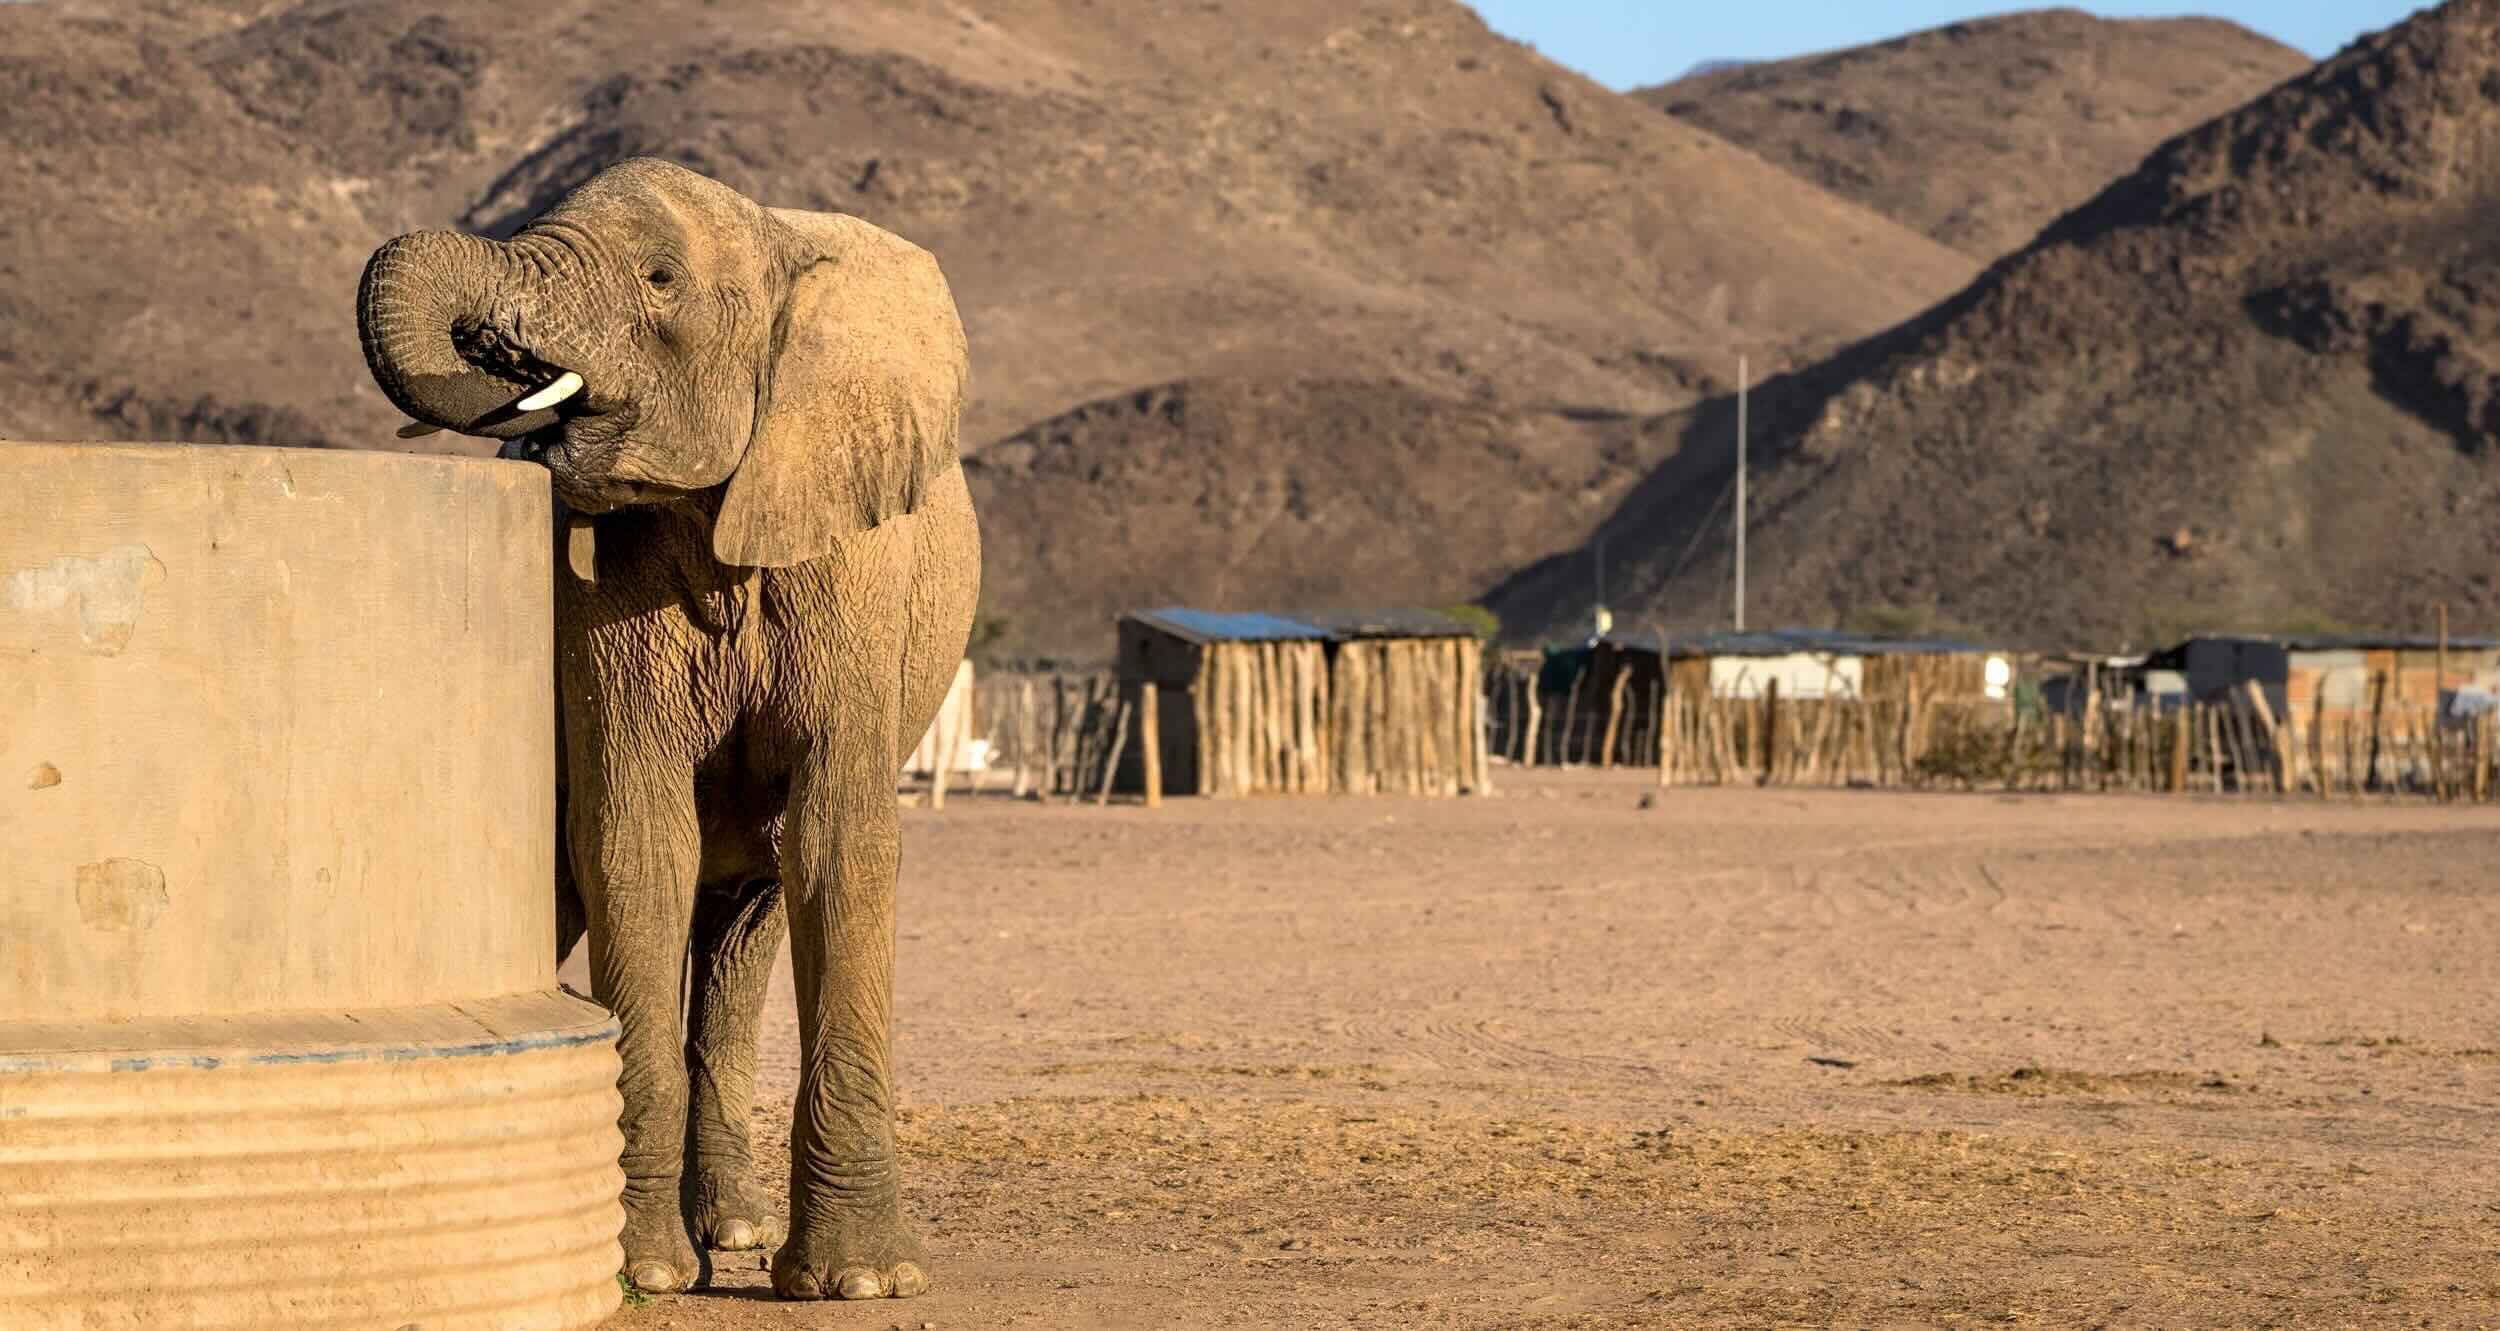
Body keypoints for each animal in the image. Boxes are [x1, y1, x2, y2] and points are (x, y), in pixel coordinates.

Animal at [353, 157, 979, 1302]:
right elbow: (636, 844)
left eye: (658, 279)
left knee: (749, 919)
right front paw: (640, 1265)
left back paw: (734, 1233)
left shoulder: (858, 567)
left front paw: (861, 1284)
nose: (506, 366)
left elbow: (838, 840)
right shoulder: (594, 596)